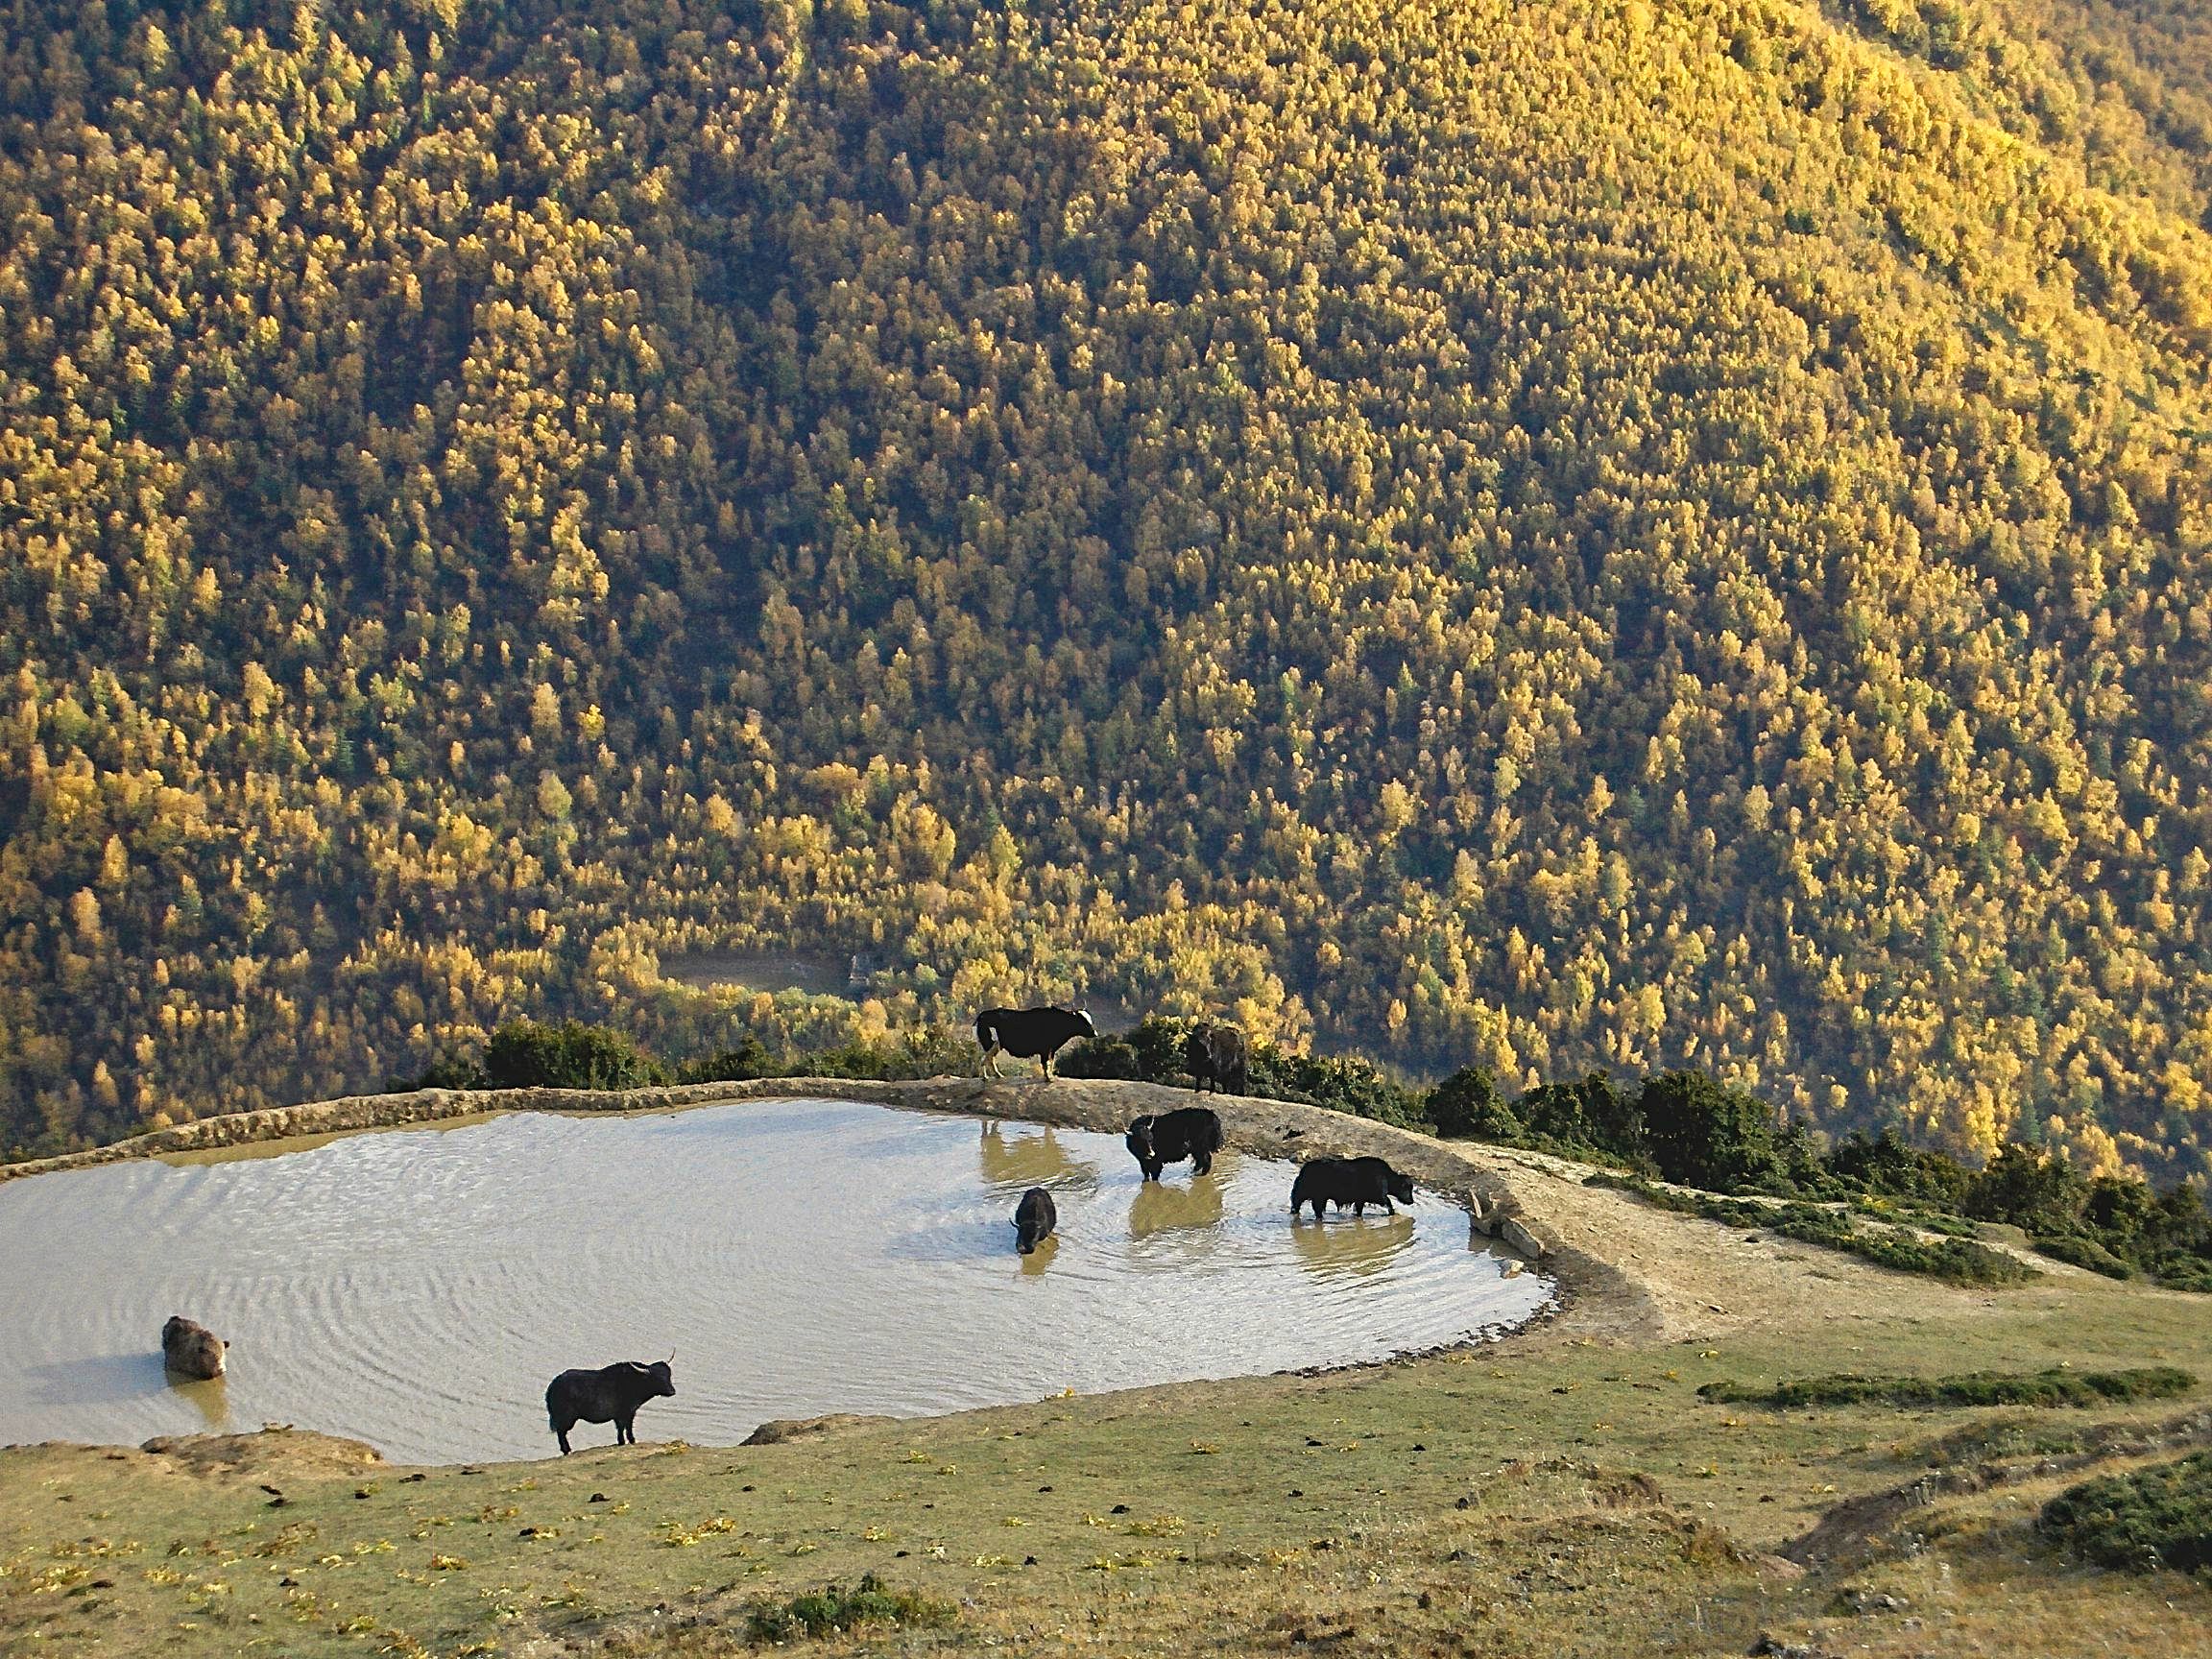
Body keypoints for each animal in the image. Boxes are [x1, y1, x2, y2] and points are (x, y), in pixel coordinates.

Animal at [546, 1359, 675, 1454]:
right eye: (657, 1377)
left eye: (669, 1375)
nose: (672, 1391)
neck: (634, 1381)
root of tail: (553, 1385)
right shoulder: (625, 1412)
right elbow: (624, 1426)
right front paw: (626, 1441)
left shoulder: (626, 1413)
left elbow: (625, 1427)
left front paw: (627, 1441)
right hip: (566, 1417)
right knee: (561, 1432)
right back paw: (567, 1450)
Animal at [1290, 1156, 1416, 1219]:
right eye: (1406, 1188)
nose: (1411, 1201)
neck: (1386, 1176)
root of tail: (1305, 1168)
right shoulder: (1379, 1196)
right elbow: (1388, 1202)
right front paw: (1392, 1213)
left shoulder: (1360, 1199)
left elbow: (1359, 1209)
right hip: (1315, 1196)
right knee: (1310, 1206)